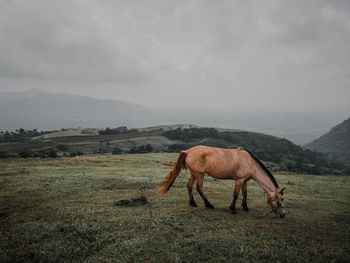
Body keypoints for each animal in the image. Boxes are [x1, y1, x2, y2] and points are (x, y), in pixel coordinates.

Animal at [157, 145, 286, 218]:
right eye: (281, 199)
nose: (283, 215)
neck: (250, 163)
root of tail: (188, 151)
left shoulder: (244, 181)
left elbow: (244, 194)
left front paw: (245, 207)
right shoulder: (239, 180)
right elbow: (235, 194)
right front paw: (232, 209)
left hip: (194, 173)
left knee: (189, 186)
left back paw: (193, 203)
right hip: (199, 174)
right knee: (199, 188)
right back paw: (208, 205)